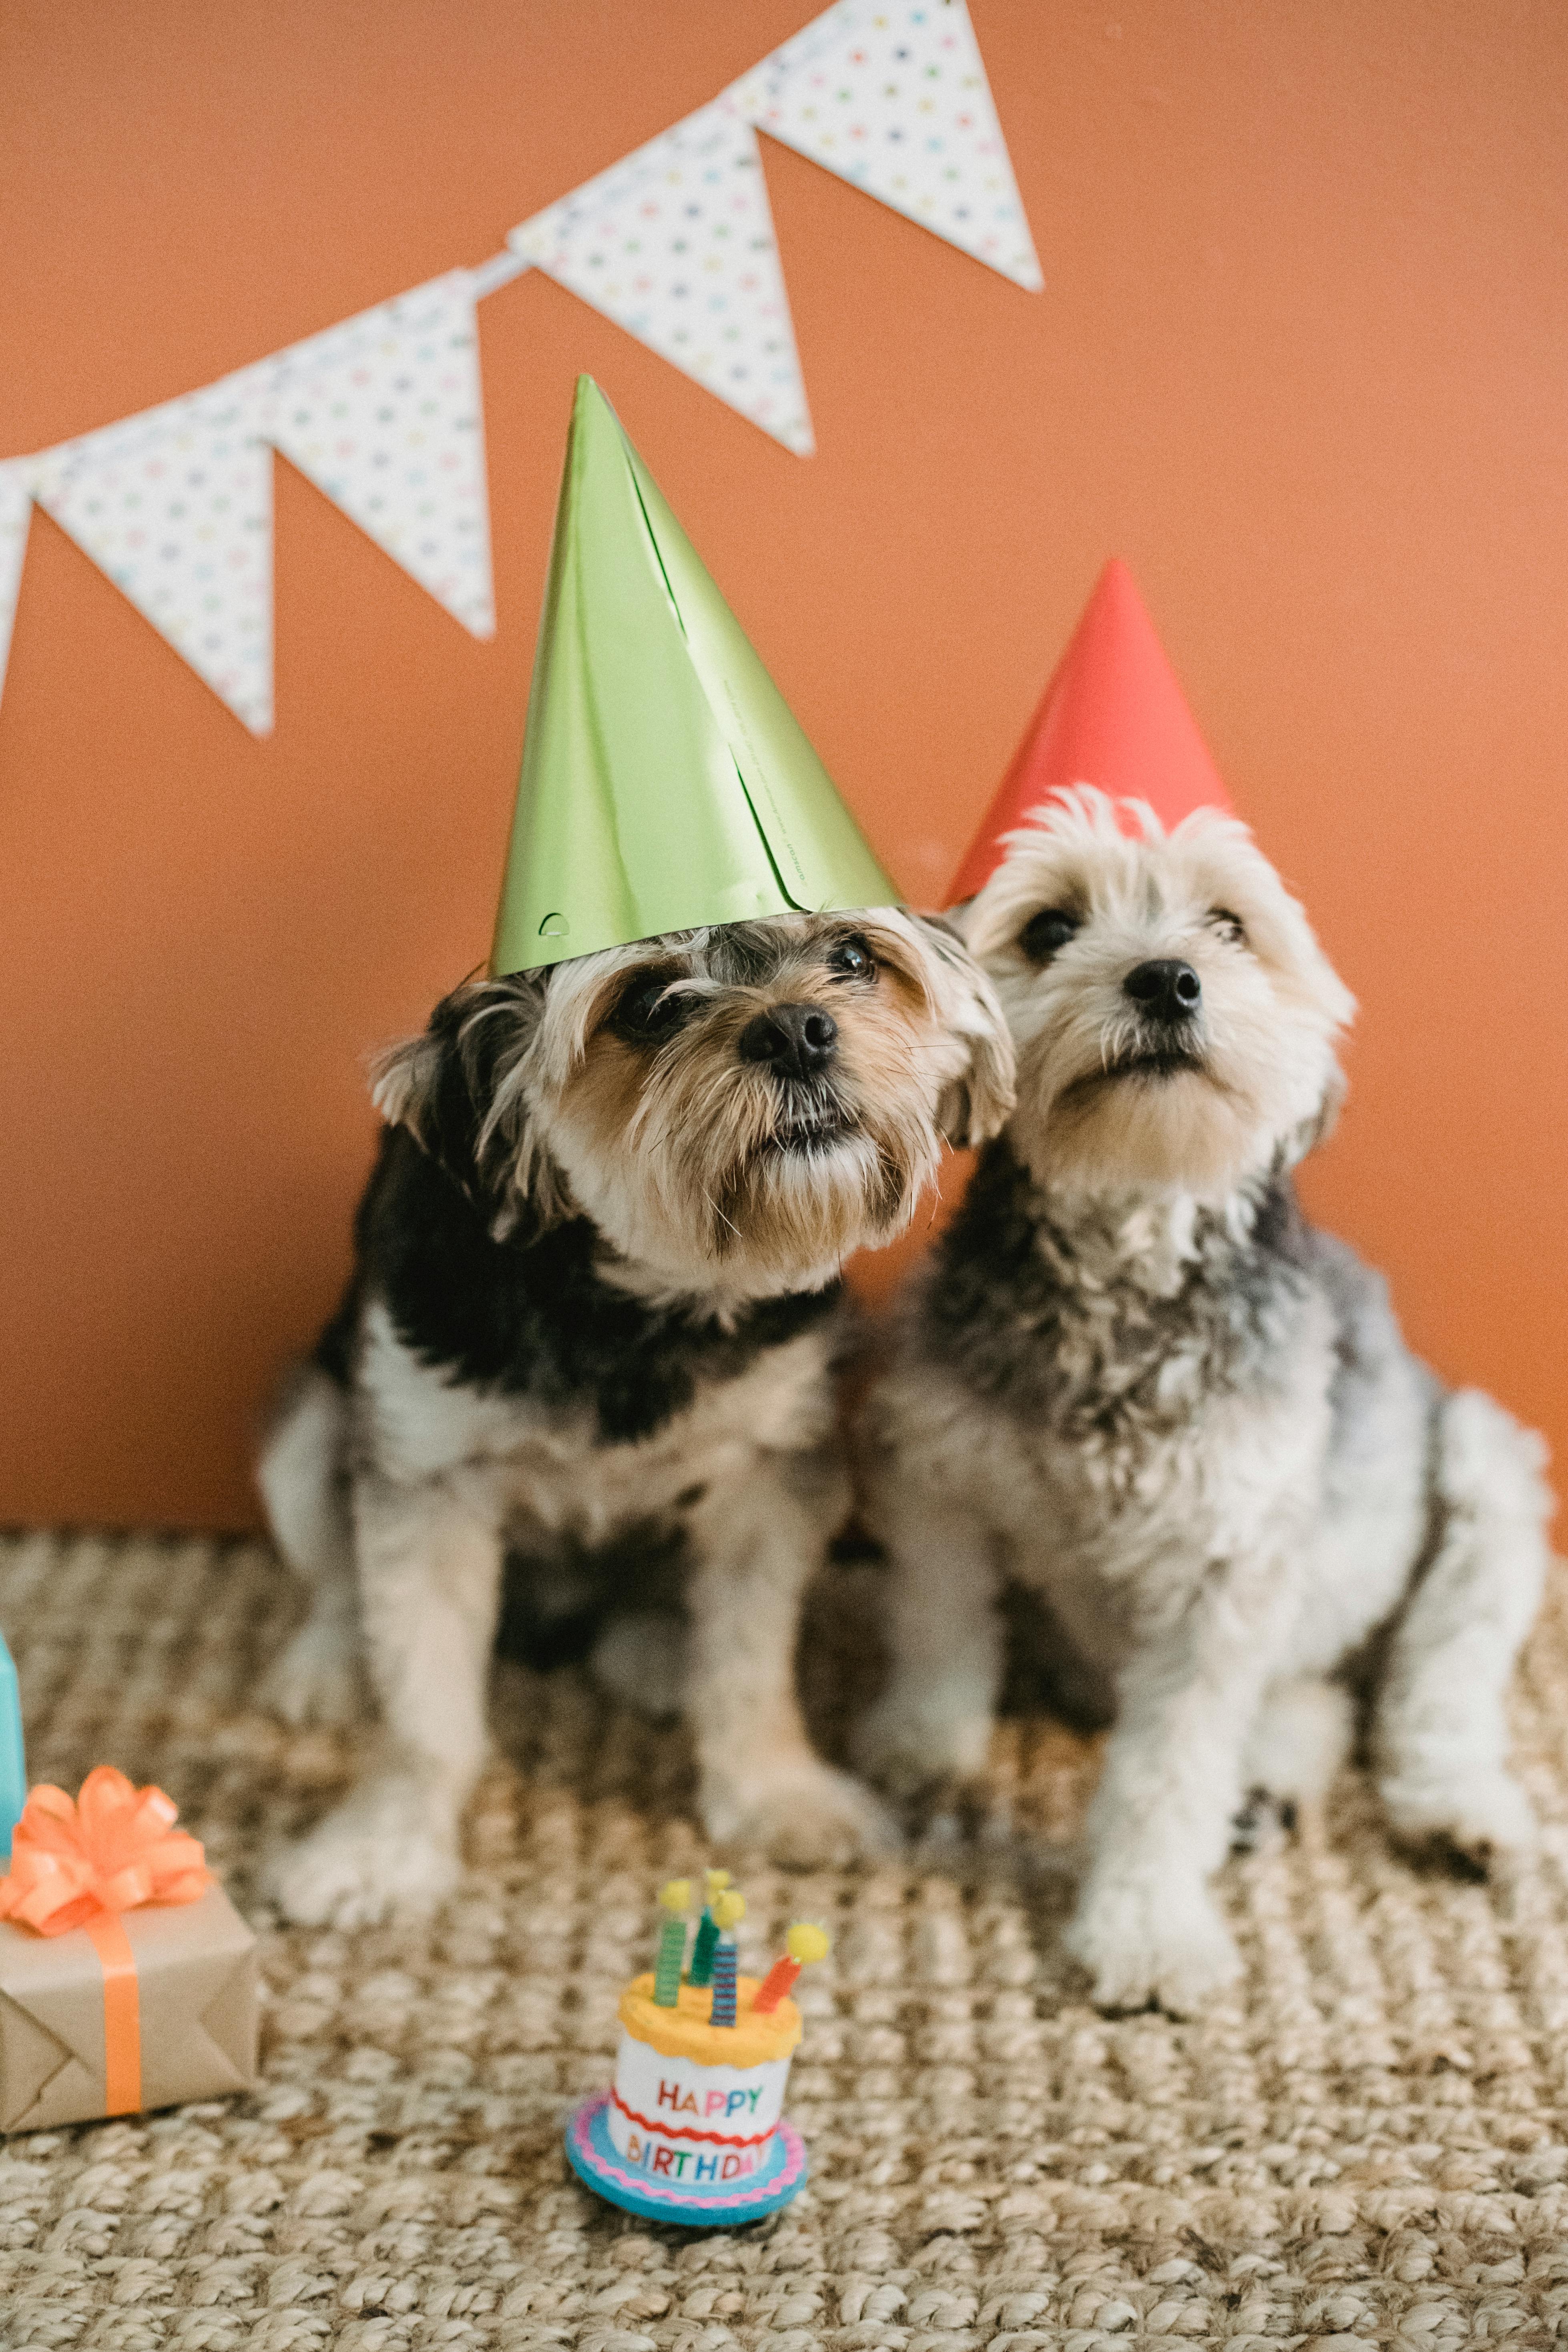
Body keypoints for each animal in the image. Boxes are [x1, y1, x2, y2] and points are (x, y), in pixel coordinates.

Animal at [261, 908, 1020, 1919]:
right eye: (650, 1004)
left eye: (852, 956)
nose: (796, 1031)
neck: (630, 1308)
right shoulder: (426, 1478)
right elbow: (422, 1704)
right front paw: (381, 1851)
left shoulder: (769, 1470)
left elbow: (748, 1671)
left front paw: (776, 1796)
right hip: (308, 1435)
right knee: (339, 1584)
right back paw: (322, 1666)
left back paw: (659, 1652)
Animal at [860, 790, 1561, 2004]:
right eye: (1049, 927)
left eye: (1228, 926)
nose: (1165, 979)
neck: (1120, 1271)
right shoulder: (939, 1476)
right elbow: (940, 1628)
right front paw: (925, 1746)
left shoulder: (1220, 1579)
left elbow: (1166, 1773)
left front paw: (1141, 1930)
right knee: (1319, 1702)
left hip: (1480, 1466)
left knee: (1430, 1688)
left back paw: (1454, 1811)